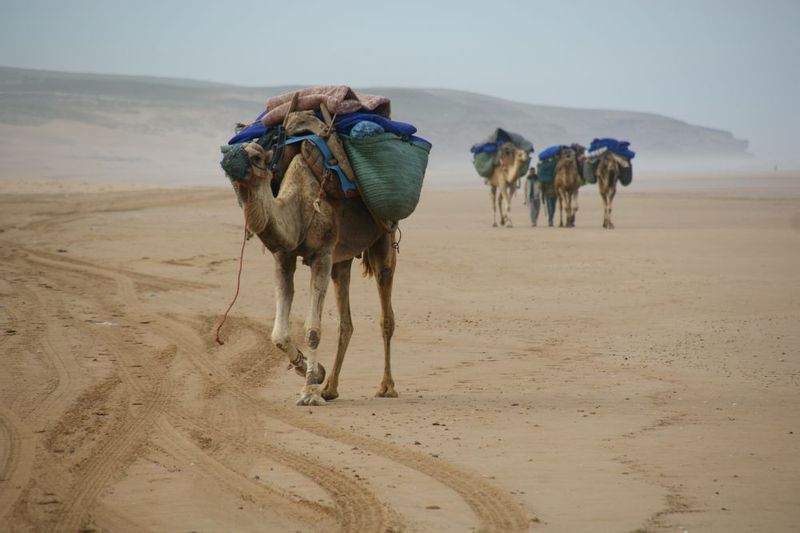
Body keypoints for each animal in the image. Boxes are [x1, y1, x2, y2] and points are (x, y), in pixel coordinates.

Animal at [227, 139, 398, 406]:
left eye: (257, 156)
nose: (228, 159)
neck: (299, 207)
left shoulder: (322, 255)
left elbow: (313, 330)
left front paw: (308, 392)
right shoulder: (284, 257)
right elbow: (278, 334)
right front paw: (314, 372)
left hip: (384, 236)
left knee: (386, 311)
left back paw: (386, 387)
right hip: (343, 259)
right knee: (346, 321)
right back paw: (330, 388)